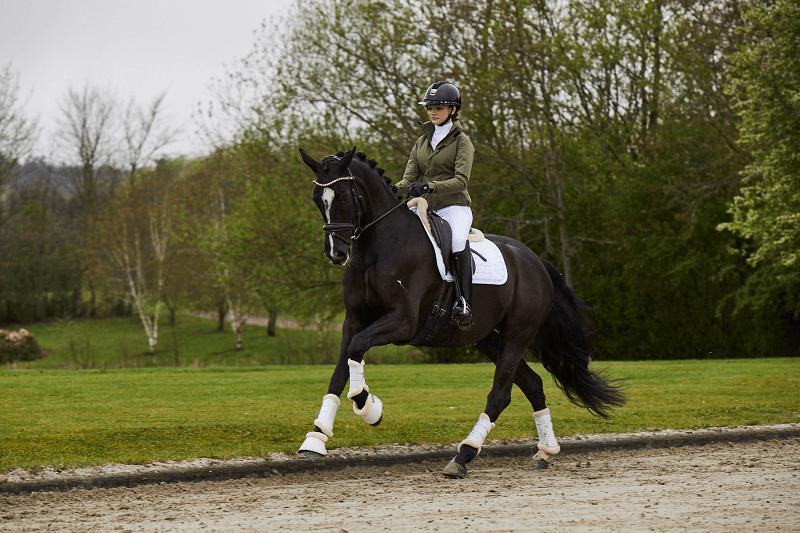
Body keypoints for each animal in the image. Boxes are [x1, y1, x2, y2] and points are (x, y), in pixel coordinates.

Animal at [298, 147, 624, 478]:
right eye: (316, 198)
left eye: (343, 197)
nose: (336, 254)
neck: (377, 248)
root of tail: (536, 262)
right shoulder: (353, 321)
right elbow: (341, 370)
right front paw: (316, 438)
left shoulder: (402, 322)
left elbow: (357, 349)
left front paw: (368, 406)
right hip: (490, 339)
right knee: (533, 384)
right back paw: (546, 449)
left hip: (517, 336)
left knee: (500, 395)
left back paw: (464, 454)